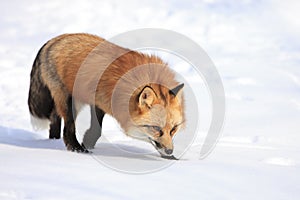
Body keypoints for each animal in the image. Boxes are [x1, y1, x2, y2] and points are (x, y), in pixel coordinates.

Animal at [27, 33, 185, 160]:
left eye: (173, 129)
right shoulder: (98, 98)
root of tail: (55, 40)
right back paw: (75, 148)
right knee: (67, 128)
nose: (169, 151)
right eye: (156, 128)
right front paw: (86, 145)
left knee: (54, 118)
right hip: (69, 101)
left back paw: (53, 142)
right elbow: (97, 129)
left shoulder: (100, 101)